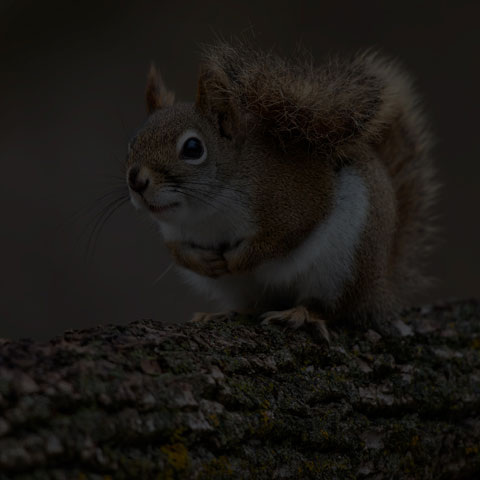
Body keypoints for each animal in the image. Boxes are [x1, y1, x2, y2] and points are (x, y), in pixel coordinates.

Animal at [125, 42, 436, 342]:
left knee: (335, 308)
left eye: (193, 148)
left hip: (346, 265)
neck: (205, 212)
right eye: (133, 142)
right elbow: (177, 251)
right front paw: (203, 262)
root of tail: (382, 285)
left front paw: (238, 259)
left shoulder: (295, 199)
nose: (136, 181)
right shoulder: (174, 231)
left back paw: (301, 314)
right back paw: (223, 313)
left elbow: (281, 237)